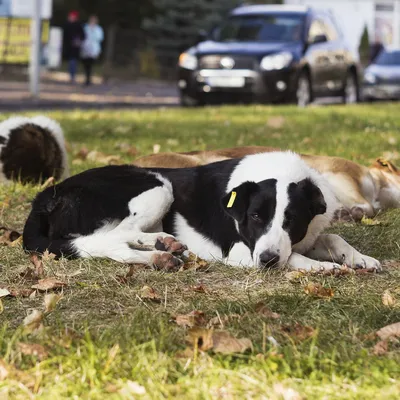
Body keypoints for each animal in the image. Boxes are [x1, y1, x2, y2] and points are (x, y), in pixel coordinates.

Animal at [22, 152, 382, 270]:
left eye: (291, 220)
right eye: (255, 217)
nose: (266, 261)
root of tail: (47, 195)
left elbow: (332, 239)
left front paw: (360, 258)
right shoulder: (239, 251)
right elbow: (290, 257)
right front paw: (321, 268)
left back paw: (161, 250)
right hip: (157, 184)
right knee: (110, 238)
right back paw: (161, 247)